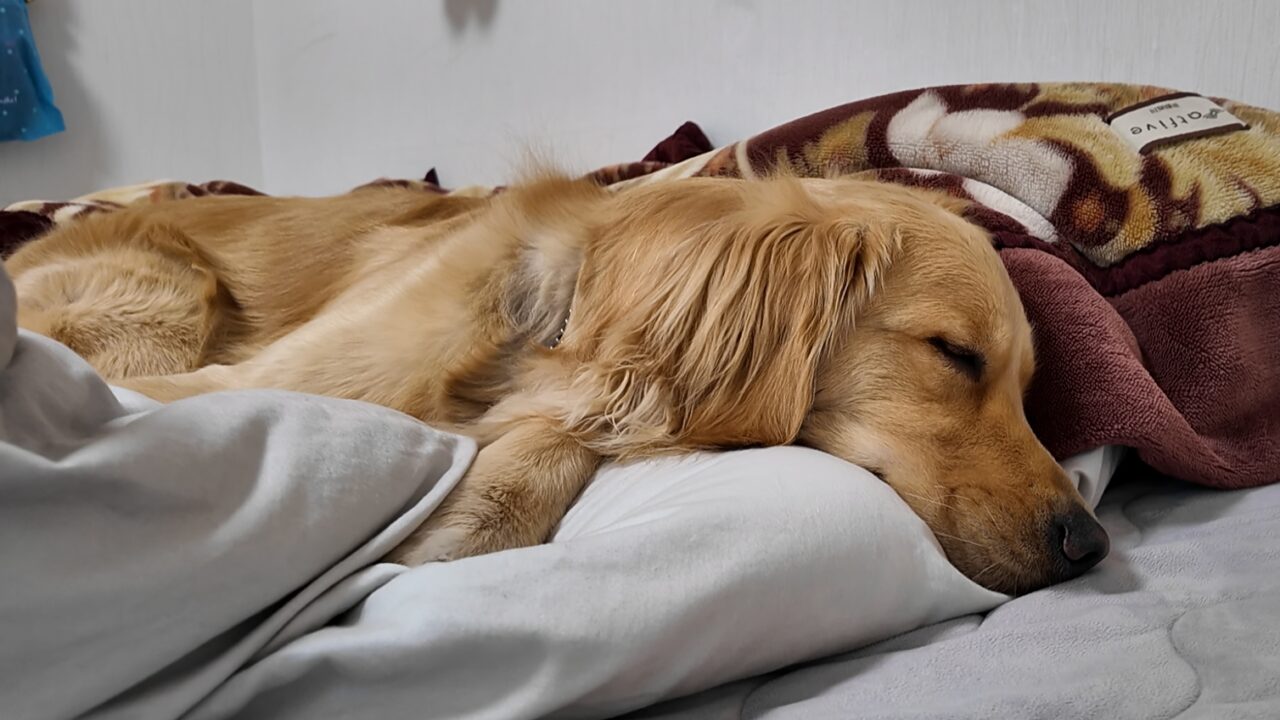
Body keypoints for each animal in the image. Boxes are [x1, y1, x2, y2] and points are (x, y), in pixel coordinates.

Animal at [6, 174, 1109, 595]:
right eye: (953, 355)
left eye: (1028, 389)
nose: (1090, 541)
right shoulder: (254, 375)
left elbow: (549, 449)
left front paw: (472, 509)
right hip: (168, 294)